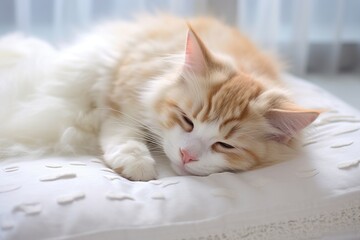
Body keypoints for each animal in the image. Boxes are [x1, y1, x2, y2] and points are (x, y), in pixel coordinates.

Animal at [0, 15, 320, 180]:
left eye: (225, 145)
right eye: (187, 121)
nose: (187, 155)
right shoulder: (124, 87)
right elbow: (123, 130)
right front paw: (136, 162)